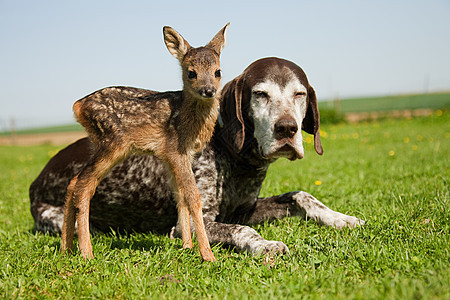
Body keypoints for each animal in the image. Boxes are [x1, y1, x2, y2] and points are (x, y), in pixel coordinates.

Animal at [29, 57, 366, 254]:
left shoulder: (244, 209)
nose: (287, 129)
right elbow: (243, 230)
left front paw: (342, 218)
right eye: (260, 94)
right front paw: (264, 245)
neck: (234, 157)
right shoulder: (189, 224)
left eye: (300, 94)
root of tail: (36, 179)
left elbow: (302, 196)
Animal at [60, 23, 230, 262]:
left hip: (98, 144)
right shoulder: (176, 150)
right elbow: (194, 197)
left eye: (218, 72)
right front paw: (207, 255)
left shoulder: (173, 156)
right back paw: (86, 252)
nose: (208, 90)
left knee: (74, 181)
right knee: (84, 186)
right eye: (191, 73)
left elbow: (179, 196)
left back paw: (65, 248)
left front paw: (186, 246)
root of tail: (78, 106)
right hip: (112, 142)